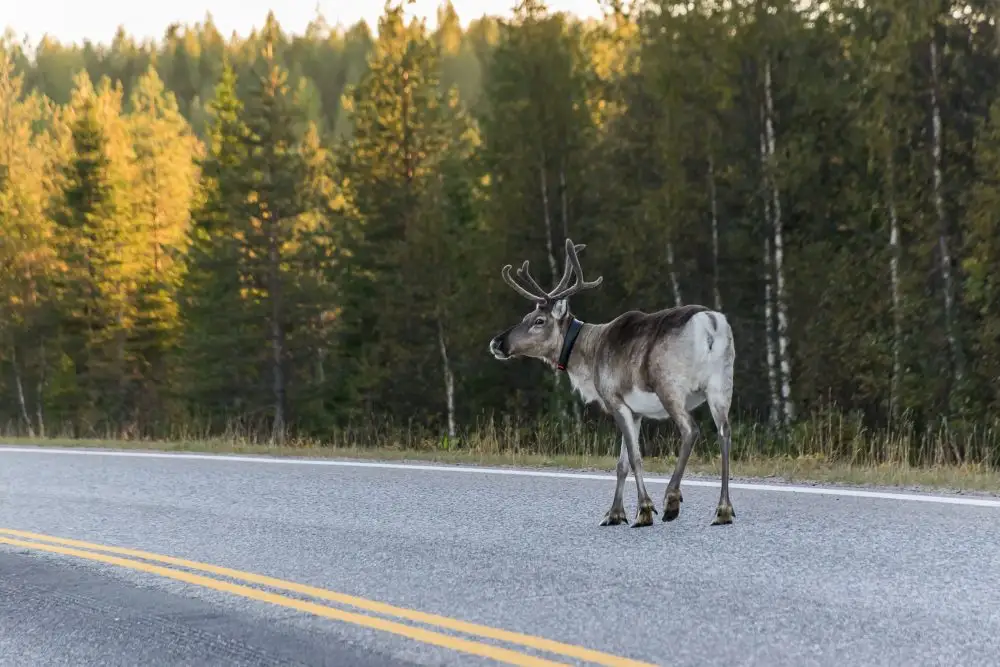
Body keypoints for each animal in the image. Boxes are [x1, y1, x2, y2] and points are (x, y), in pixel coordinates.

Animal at [488, 238, 736, 528]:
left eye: (538, 321)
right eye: (525, 317)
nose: (497, 343)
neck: (588, 356)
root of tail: (711, 325)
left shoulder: (614, 399)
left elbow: (635, 458)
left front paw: (643, 510)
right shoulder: (636, 410)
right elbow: (621, 465)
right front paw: (614, 513)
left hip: (670, 385)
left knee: (690, 430)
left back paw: (671, 500)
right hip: (721, 384)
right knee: (724, 432)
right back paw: (723, 510)